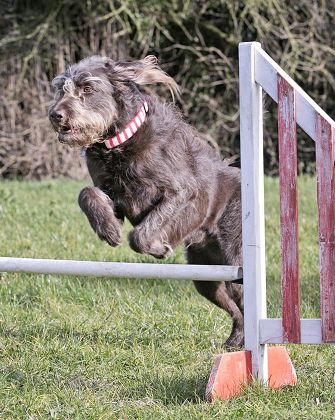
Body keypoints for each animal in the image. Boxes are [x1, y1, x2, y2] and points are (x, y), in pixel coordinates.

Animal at [49, 55, 244, 348]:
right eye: (61, 89)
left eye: (87, 88)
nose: (55, 115)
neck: (120, 144)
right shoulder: (114, 195)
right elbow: (87, 194)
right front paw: (108, 230)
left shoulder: (180, 193)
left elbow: (141, 234)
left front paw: (158, 248)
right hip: (205, 276)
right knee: (234, 308)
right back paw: (234, 341)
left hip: (236, 266)